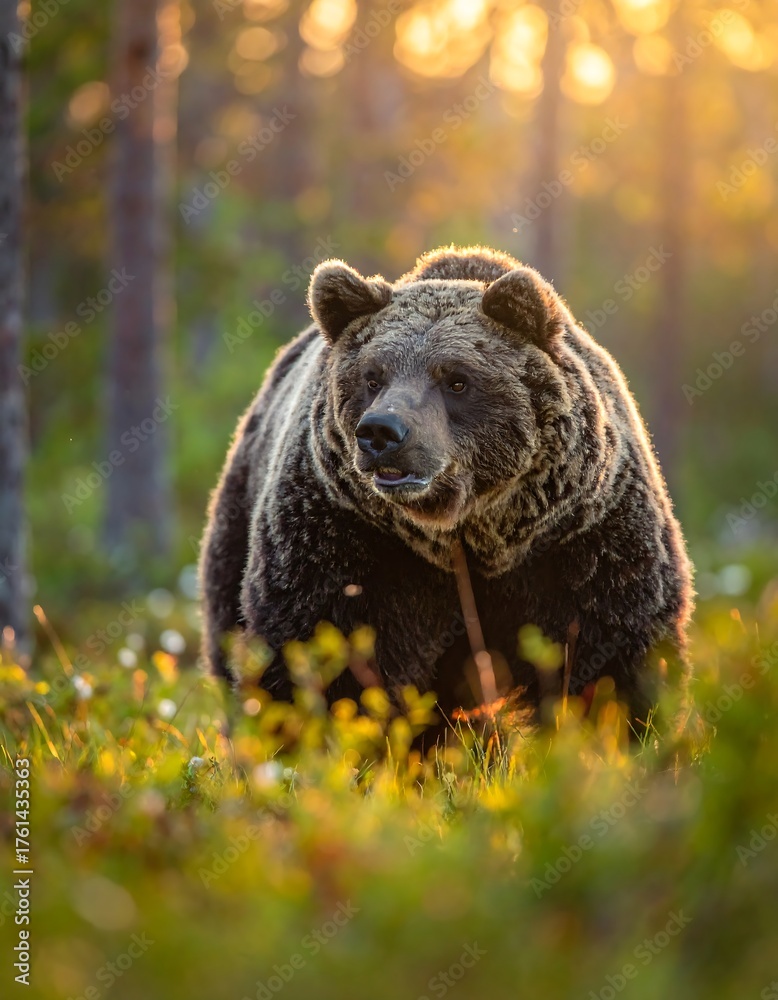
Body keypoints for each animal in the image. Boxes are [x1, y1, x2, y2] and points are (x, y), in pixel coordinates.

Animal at [199, 245, 693, 729]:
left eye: (456, 379)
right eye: (372, 376)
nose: (380, 432)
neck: (466, 535)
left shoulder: (579, 540)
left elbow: (611, 658)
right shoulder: (346, 538)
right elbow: (324, 657)